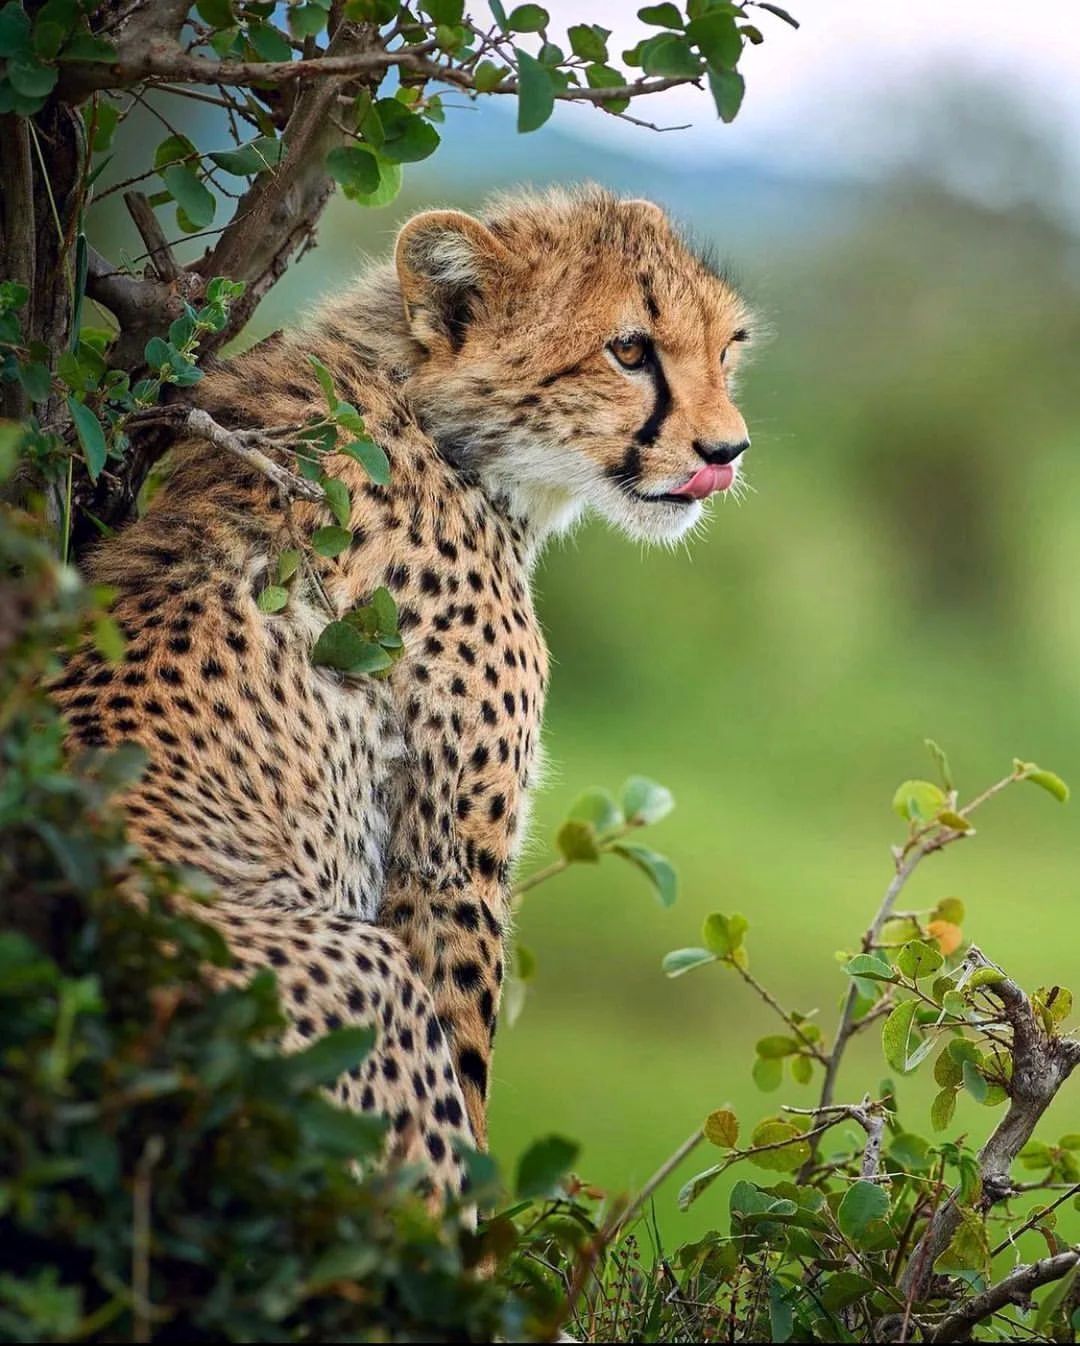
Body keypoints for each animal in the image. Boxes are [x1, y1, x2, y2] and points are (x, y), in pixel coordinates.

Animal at [52, 187, 748, 1200]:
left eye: (728, 345)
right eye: (629, 351)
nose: (728, 449)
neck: (439, 429)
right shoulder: (445, 864)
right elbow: (469, 1061)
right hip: (351, 974)